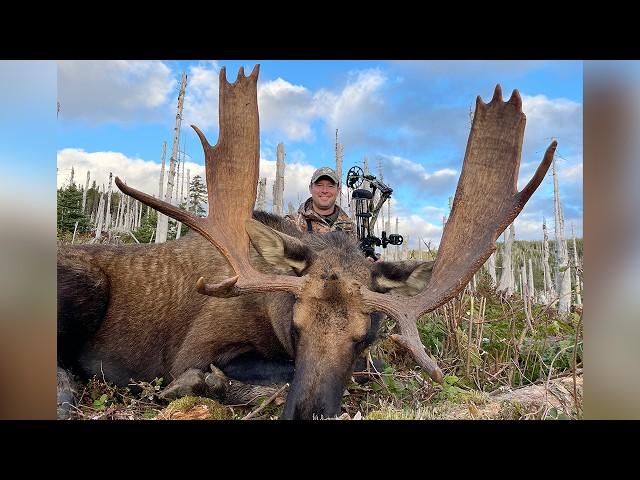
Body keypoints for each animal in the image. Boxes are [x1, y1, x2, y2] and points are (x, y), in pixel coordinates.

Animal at [56, 64, 556, 420]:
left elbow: (366, 371)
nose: (307, 413)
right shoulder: (196, 347)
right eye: (294, 324)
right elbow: (264, 371)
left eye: (364, 337)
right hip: (83, 284)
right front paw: (204, 384)